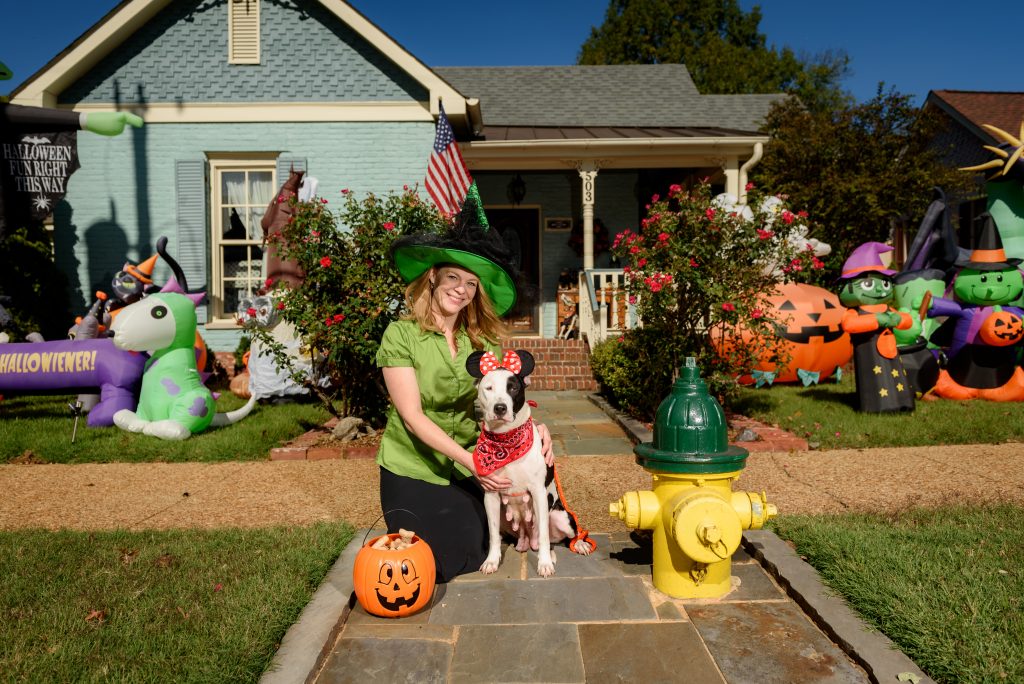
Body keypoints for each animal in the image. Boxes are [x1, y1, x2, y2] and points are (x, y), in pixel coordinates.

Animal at [464, 348, 593, 577]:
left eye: (513, 387)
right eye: (489, 388)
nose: (500, 408)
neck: (506, 441)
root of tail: (526, 539)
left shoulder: (539, 493)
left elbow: (543, 535)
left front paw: (544, 564)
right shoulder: (491, 496)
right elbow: (493, 535)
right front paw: (491, 561)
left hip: (561, 516)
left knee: (565, 535)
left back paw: (577, 545)